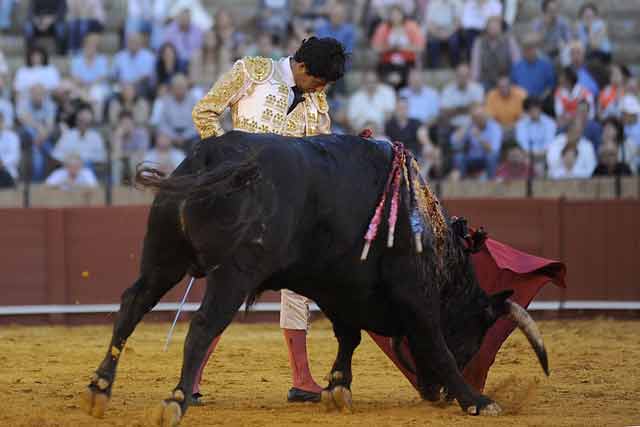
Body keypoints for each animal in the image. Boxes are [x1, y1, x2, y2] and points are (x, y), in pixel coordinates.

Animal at [81, 132, 552, 426]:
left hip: (163, 259)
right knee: (202, 327)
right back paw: (176, 400)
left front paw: (337, 389)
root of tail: (213, 156)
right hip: (233, 273)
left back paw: (100, 388)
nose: (437, 395)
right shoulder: (413, 295)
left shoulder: (336, 286)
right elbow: (434, 343)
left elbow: (349, 336)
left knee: (132, 305)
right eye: (475, 336)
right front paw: (479, 401)